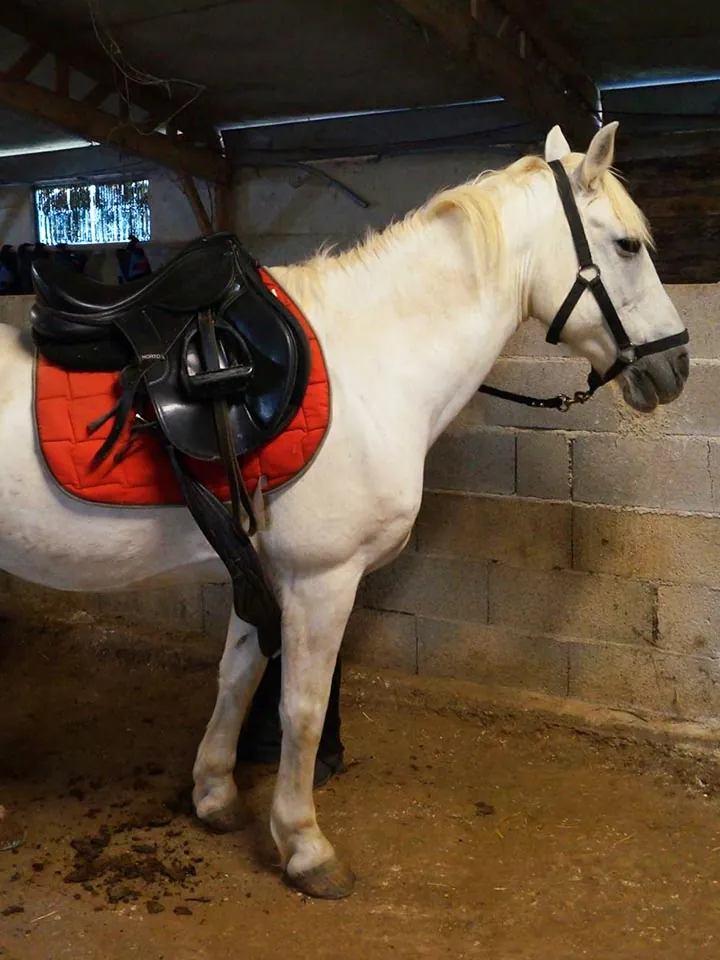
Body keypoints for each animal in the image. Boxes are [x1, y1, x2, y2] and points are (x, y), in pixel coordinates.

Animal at [0, 122, 690, 899]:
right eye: (627, 245)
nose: (676, 365)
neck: (371, 364)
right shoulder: (322, 579)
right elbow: (300, 709)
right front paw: (304, 846)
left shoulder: (260, 565)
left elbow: (238, 676)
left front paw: (215, 794)